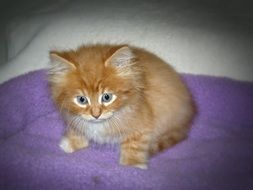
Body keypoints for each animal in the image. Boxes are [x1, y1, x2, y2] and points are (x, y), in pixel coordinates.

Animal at [49, 44, 196, 169]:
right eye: (82, 100)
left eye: (107, 97)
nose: (96, 114)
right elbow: (78, 129)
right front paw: (72, 142)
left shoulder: (142, 124)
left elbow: (134, 144)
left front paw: (131, 165)